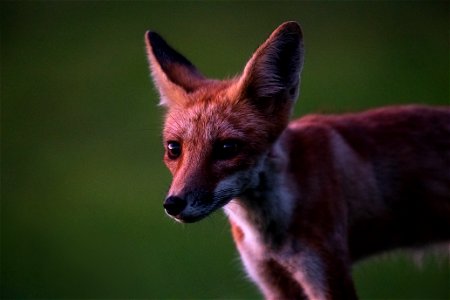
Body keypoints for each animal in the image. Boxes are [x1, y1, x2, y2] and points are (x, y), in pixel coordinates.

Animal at [144, 21, 450, 300]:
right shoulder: (273, 283)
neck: (271, 236)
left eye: (227, 148)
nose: (173, 204)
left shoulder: (328, 277)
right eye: (174, 149)